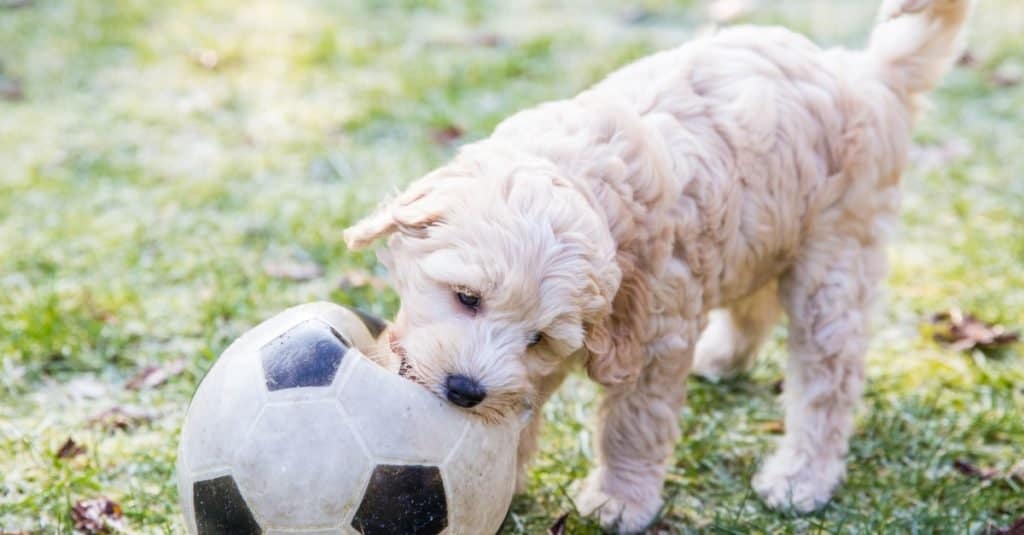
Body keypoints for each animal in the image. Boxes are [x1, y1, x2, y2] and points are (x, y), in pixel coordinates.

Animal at [342, 0, 966, 528]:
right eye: (467, 298)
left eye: (538, 337)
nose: (466, 390)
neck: (588, 183)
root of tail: (865, 74)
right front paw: (506, 481)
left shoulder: (652, 339)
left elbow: (633, 425)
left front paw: (619, 499)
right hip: (768, 231)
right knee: (756, 302)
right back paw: (723, 357)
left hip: (836, 257)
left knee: (828, 377)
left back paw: (800, 477)